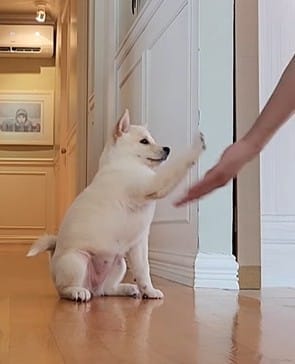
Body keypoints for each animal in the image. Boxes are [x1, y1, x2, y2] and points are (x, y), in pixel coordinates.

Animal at [28, 109, 207, 302]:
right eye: (144, 141)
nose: (167, 149)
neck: (123, 162)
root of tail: (92, 286)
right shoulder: (153, 184)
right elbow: (177, 167)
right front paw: (196, 148)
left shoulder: (139, 244)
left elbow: (143, 270)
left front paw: (149, 291)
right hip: (77, 261)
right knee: (64, 289)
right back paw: (76, 291)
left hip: (119, 264)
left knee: (106, 290)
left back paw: (126, 288)